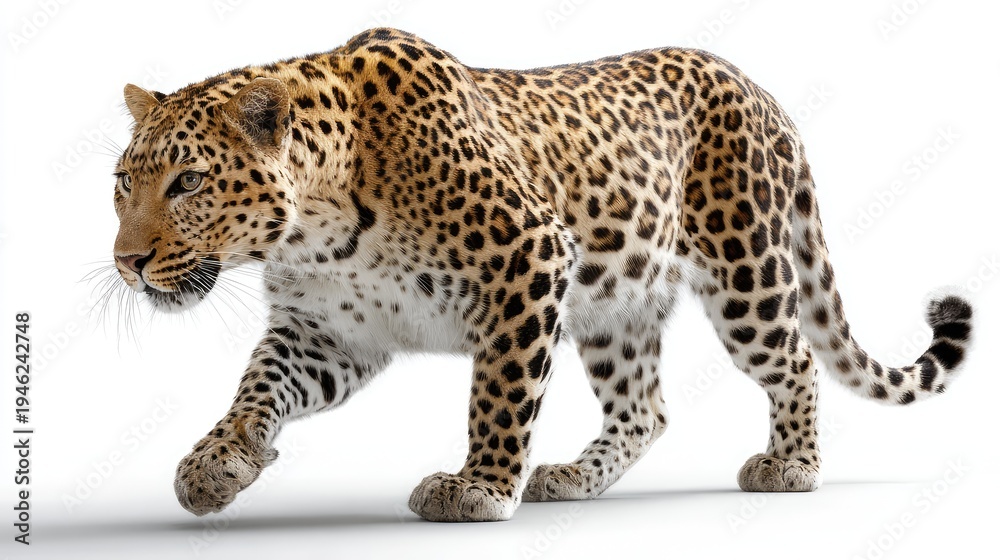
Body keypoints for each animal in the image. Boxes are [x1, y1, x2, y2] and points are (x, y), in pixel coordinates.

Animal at [111, 27, 974, 522]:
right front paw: (216, 464)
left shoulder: (528, 256)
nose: (128, 262)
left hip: (745, 271)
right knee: (645, 409)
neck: (314, 228)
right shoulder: (328, 331)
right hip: (618, 306)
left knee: (794, 360)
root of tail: (764, 95)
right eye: (123, 182)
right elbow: (256, 390)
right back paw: (573, 479)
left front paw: (481, 487)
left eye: (188, 182)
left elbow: (499, 393)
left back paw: (791, 465)